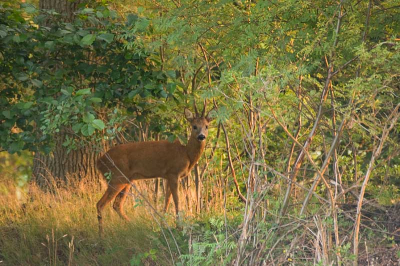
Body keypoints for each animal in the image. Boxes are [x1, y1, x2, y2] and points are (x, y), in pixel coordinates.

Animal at [96, 102, 216, 235]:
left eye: (206, 126)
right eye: (194, 126)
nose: (201, 136)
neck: (186, 154)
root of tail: (99, 161)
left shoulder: (168, 176)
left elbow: (167, 201)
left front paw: (164, 224)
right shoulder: (174, 173)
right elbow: (176, 200)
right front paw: (179, 226)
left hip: (126, 180)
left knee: (117, 205)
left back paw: (133, 225)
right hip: (116, 177)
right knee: (100, 204)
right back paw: (101, 235)